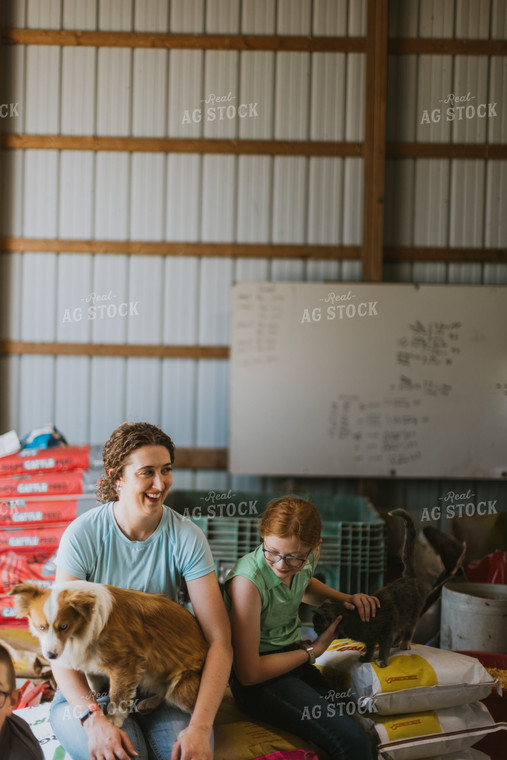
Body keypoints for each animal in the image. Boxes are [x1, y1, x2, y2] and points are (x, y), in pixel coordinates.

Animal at [9, 580, 208, 728]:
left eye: (63, 626)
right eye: (41, 627)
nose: (50, 656)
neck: (80, 631)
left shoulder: (126, 663)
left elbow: (117, 696)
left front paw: (113, 720)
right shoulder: (90, 663)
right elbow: (94, 685)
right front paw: (94, 700)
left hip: (180, 687)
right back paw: (149, 702)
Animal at [316, 510, 430, 664]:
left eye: (316, 625)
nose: (315, 632)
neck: (351, 617)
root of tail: (409, 577)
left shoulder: (387, 629)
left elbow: (384, 646)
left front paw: (382, 661)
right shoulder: (369, 637)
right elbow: (370, 647)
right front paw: (366, 658)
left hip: (413, 615)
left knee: (409, 629)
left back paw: (404, 643)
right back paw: (397, 642)